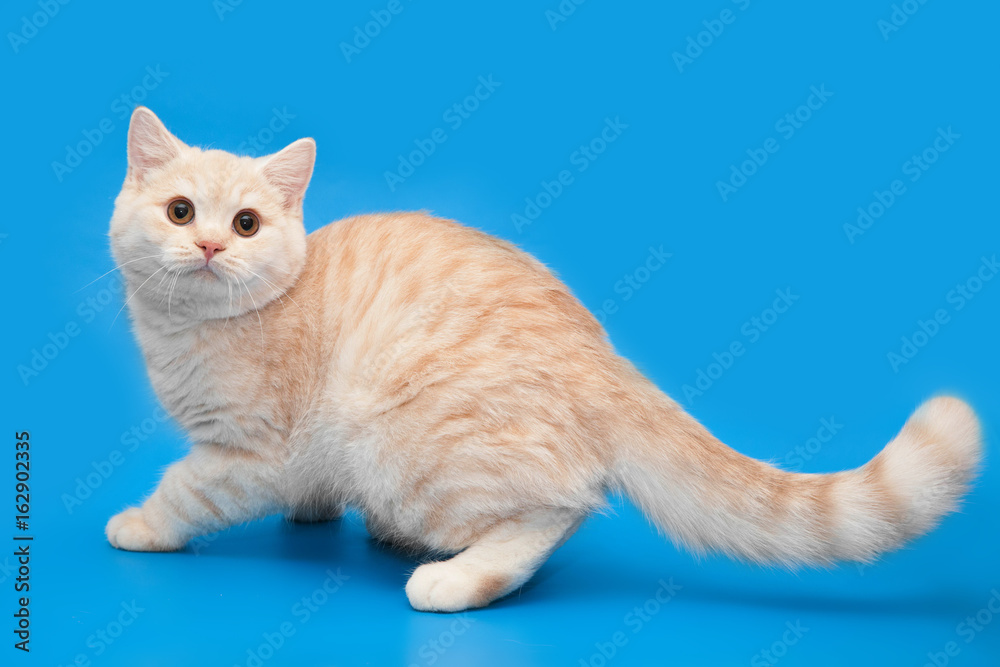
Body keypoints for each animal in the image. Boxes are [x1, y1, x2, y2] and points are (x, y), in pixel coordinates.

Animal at [105, 107, 980, 612]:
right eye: (180, 211)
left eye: (247, 223)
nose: (210, 246)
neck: (191, 328)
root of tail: (606, 362)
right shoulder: (292, 457)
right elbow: (305, 492)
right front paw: (313, 511)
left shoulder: (249, 451)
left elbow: (186, 491)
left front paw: (139, 524)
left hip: (403, 449)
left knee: (554, 511)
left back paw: (452, 576)